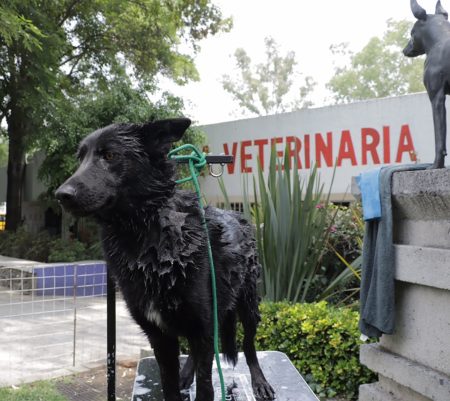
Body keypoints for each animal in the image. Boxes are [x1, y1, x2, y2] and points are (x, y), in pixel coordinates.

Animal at [56, 118, 274, 400]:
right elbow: (168, 384)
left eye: (110, 155)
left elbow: (206, 387)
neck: (147, 235)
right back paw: (186, 375)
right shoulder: (159, 335)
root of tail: (238, 216)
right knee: (194, 355)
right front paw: (179, 381)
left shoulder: (202, 327)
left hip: (248, 305)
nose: (61, 195)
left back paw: (259, 382)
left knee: (248, 346)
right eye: (80, 158)